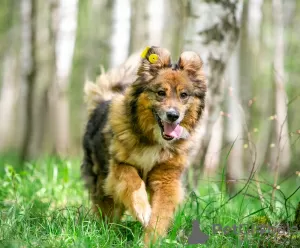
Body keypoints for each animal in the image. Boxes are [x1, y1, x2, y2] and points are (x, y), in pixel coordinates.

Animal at [80, 46, 206, 244]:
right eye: (161, 93)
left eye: (184, 95)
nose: (173, 115)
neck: (153, 141)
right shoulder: (120, 166)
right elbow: (133, 182)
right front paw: (143, 211)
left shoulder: (166, 179)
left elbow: (160, 213)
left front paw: (151, 240)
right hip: (101, 180)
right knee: (107, 210)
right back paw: (105, 233)